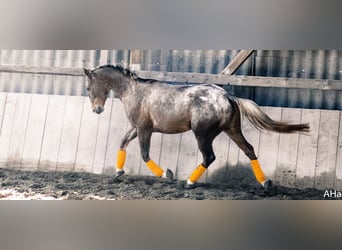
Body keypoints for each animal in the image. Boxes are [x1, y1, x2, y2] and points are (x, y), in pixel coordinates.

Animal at [83, 65, 310, 188]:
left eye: (87, 88)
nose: (96, 110)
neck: (134, 91)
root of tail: (227, 96)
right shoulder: (137, 128)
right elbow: (122, 143)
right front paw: (118, 172)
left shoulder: (144, 129)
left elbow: (144, 154)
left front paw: (167, 174)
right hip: (232, 130)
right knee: (249, 150)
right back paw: (265, 183)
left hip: (202, 134)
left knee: (209, 157)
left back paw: (190, 182)